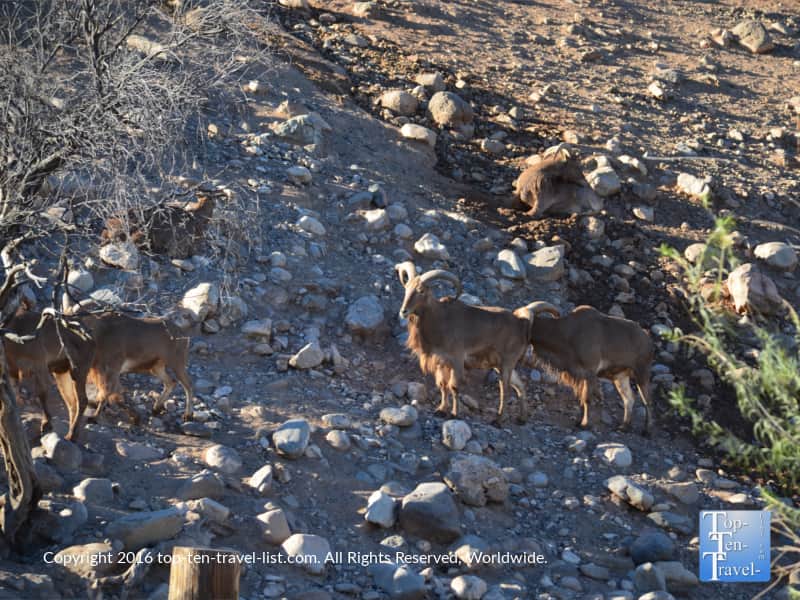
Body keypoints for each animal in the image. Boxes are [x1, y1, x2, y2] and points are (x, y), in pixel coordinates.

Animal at [3, 310, 94, 441]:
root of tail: (92, 341)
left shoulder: (39, 365)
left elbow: (42, 393)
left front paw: (46, 424)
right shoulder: (13, 372)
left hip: (78, 369)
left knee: (82, 400)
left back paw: (71, 435)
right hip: (62, 372)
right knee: (71, 402)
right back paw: (72, 433)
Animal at [396, 262, 533, 423]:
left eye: (421, 291)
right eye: (406, 288)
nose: (403, 311)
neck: (439, 319)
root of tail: (522, 325)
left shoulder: (457, 359)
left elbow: (454, 387)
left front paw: (455, 413)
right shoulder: (441, 362)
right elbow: (443, 385)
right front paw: (441, 410)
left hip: (507, 363)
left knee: (504, 389)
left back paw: (499, 420)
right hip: (500, 365)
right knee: (520, 386)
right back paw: (522, 418)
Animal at [521, 302, 655, 434]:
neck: (568, 332)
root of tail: (647, 338)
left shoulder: (589, 372)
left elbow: (586, 399)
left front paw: (585, 424)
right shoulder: (579, 376)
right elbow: (581, 398)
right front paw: (578, 422)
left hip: (641, 373)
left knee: (646, 400)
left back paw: (647, 430)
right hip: (620, 377)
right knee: (629, 399)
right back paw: (623, 426)